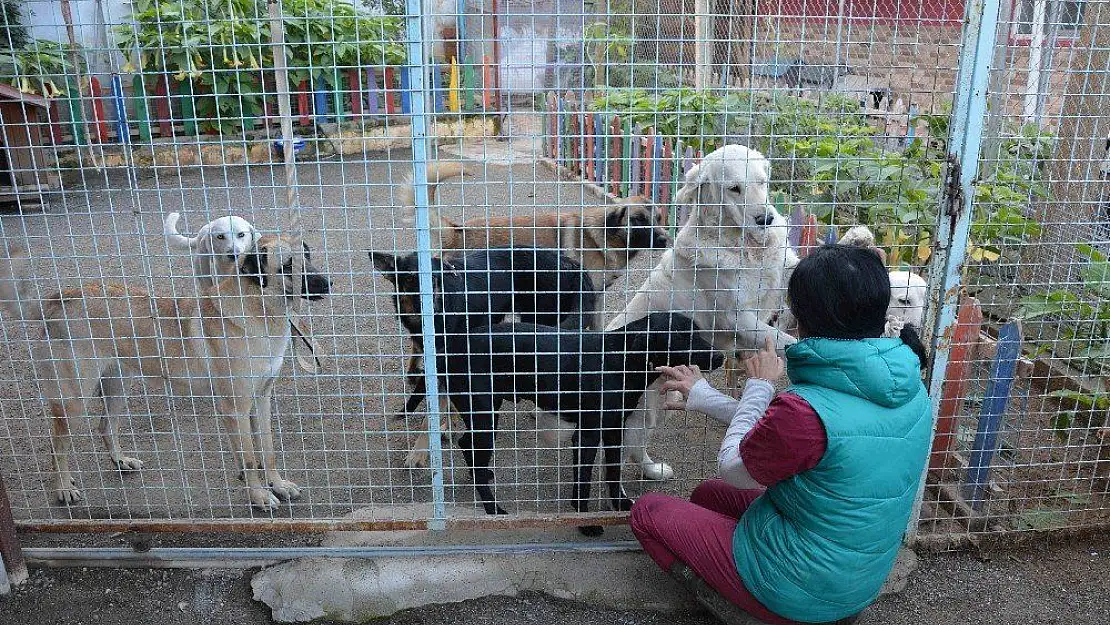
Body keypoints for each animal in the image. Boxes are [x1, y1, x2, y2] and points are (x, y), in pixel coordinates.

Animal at [0, 237, 328, 510]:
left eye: (308, 256)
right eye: (288, 265)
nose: (329, 283)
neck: (258, 309)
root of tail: (59, 300)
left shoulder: (261, 399)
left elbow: (268, 448)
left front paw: (277, 484)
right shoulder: (235, 408)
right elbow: (248, 458)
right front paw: (259, 495)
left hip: (118, 387)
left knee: (105, 427)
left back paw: (120, 461)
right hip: (72, 400)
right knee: (57, 445)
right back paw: (63, 487)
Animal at [428, 310, 723, 535]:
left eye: (699, 331)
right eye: (683, 336)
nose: (721, 357)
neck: (618, 358)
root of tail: (447, 348)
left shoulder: (614, 430)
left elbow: (613, 472)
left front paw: (620, 504)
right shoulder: (587, 435)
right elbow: (583, 482)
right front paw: (585, 522)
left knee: (467, 445)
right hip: (485, 414)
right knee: (472, 448)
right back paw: (492, 508)